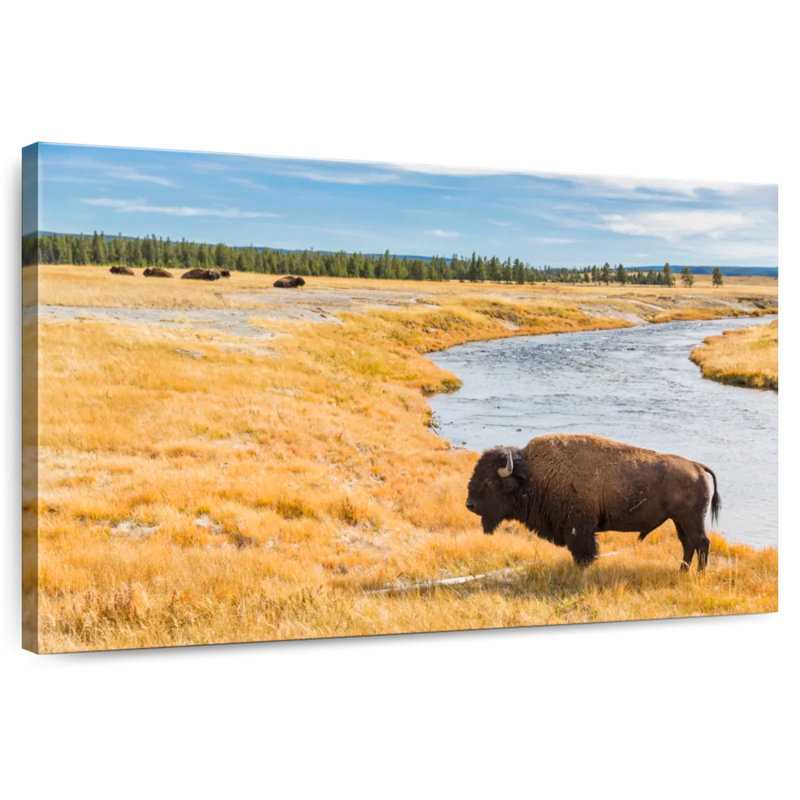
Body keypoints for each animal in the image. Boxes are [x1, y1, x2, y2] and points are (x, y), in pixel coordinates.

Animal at [466, 434, 720, 571]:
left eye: (489, 481)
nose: (469, 505)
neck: (533, 476)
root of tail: (697, 466)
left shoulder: (579, 529)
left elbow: (584, 554)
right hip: (679, 520)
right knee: (688, 544)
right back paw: (682, 571)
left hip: (691, 519)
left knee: (701, 543)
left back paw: (699, 573)